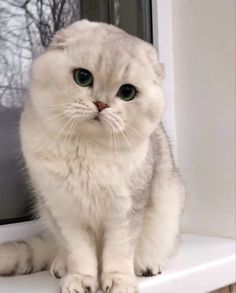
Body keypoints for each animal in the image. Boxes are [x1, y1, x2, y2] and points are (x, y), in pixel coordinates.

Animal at [0, 20, 185, 292]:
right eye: (83, 77)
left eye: (127, 92)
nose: (101, 105)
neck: (86, 148)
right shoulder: (66, 213)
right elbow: (79, 254)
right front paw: (79, 280)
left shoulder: (124, 213)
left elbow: (118, 253)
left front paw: (119, 282)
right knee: (61, 250)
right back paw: (60, 266)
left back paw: (147, 265)